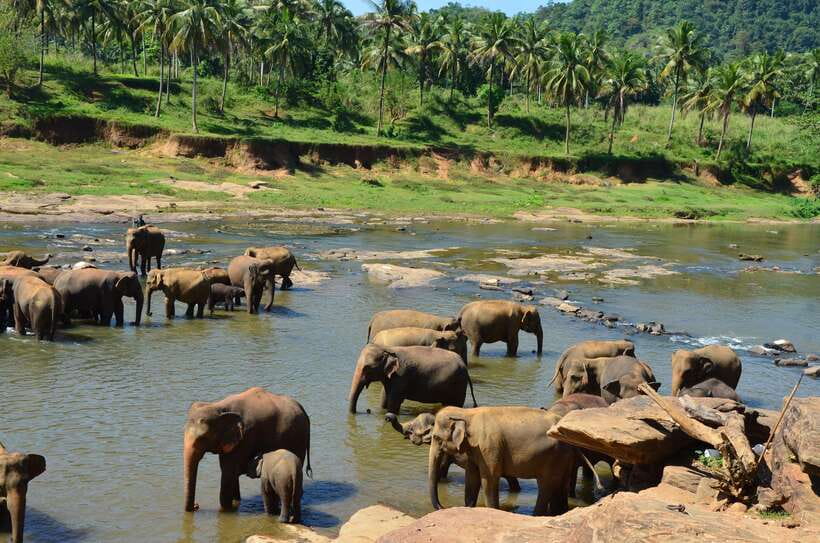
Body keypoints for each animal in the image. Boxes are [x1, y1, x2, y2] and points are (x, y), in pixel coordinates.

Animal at [183, 387, 311, 512]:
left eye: (202, 438)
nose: (196, 506)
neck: (218, 407)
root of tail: (302, 409)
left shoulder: (245, 437)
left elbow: (228, 474)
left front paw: (227, 510)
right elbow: (231, 474)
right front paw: (235, 502)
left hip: (297, 438)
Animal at [348, 345, 477, 414]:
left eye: (367, 368)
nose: (368, 410)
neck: (387, 348)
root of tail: (464, 366)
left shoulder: (401, 376)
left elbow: (393, 403)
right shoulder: (391, 378)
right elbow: (385, 398)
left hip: (458, 384)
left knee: (455, 404)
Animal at [428, 406, 576, 515]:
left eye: (436, 438)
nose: (443, 507)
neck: (467, 413)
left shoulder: (489, 447)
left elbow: (489, 480)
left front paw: (492, 510)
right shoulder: (475, 450)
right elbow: (471, 479)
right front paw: (468, 508)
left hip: (554, 456)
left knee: (546, 486)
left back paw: (537, 515)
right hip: (564, 457)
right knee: (561, 485)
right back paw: (558, 513)